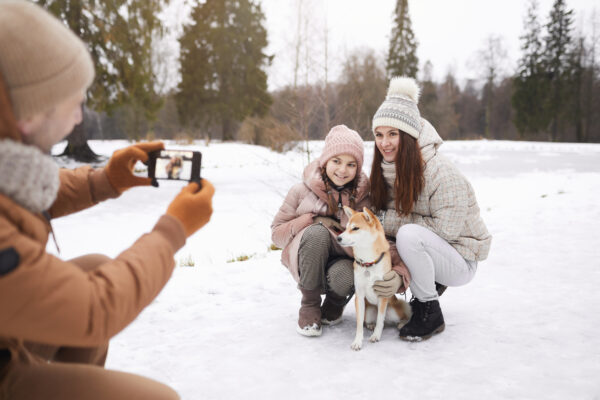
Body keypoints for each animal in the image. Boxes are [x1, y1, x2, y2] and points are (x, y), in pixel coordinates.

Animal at [338, 206, 412, 350]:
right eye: (346, 227)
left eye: (355, 228)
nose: (338, 238)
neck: (368, 263)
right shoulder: (359, 296)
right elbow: (359, 324)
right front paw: (358, 341)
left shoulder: (382, 294)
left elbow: (380, 320)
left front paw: (376, 336)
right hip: (368, 311)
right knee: (370, 320)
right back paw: (370, 325)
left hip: (394, 309)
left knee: (399, 317)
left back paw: (401, 323)